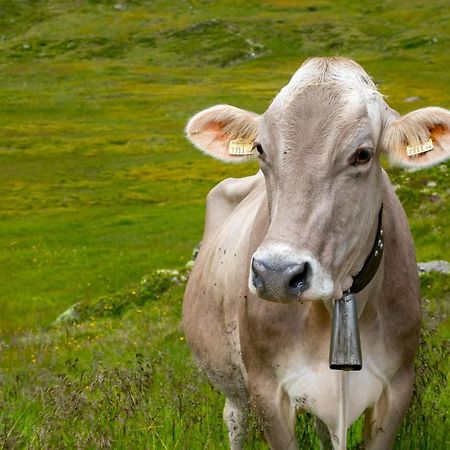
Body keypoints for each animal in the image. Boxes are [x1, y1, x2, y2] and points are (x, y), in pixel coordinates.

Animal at [182, 57, 450, 450]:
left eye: (363, 154)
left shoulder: (397, 385)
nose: (276, 274)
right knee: (234, 419)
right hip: (232, 383)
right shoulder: (267, 389)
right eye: (260, 149)